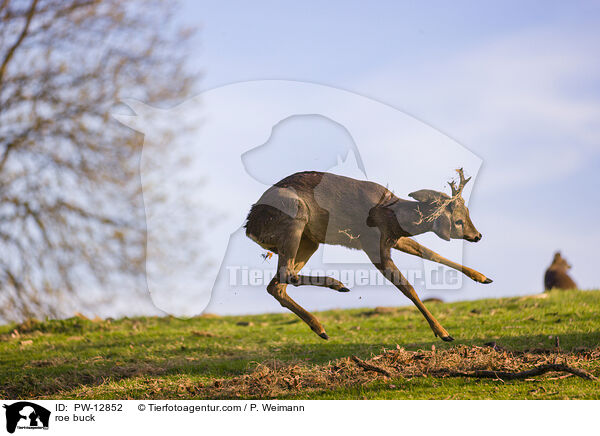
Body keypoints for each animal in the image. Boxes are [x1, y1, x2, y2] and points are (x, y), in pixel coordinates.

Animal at [245, 169, 492, 342]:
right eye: (458, 221)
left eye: (467, 212)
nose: (478, 235)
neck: (392, 214)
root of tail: (249, 227)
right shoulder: (372, 244)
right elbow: (407, 286)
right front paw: (443, 332)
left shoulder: (395, 238)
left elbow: (432, 253)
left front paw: (482, 277)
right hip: (295, 216)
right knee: (286, 275)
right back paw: (337, 286)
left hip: (309, 240)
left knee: (276, 285)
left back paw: (321, 328)